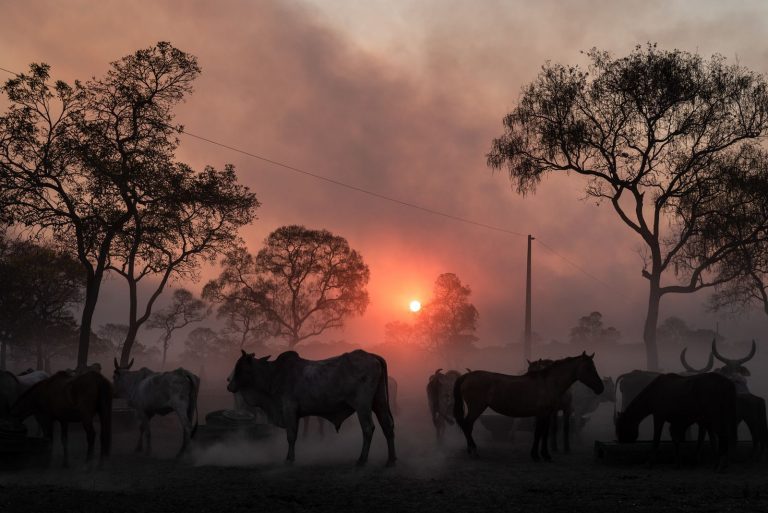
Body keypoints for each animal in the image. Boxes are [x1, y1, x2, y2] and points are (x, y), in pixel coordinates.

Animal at [226, 348, 396, 464]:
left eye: (239, 366)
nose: (229, 385)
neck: (273, 376)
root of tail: (372, 356)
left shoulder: (289, 409)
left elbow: (291, 436)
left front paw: (289, 459)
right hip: (379, 402)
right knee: (387, 426)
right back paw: (391, 460)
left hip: (362, 406)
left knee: (368, 428)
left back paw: (362, 459)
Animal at [452, 352, 604, 460]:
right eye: (589, 368)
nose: (600, 388)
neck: (548, 383)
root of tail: (467, 375)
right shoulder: (542, 413)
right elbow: (538, 433)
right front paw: (536, 455)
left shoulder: (547, 414)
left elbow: (544, 433)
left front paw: (545, 454)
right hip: (476, 408)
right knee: (467, 425)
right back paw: (474, 451)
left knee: (468, 426)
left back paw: (470, 449)